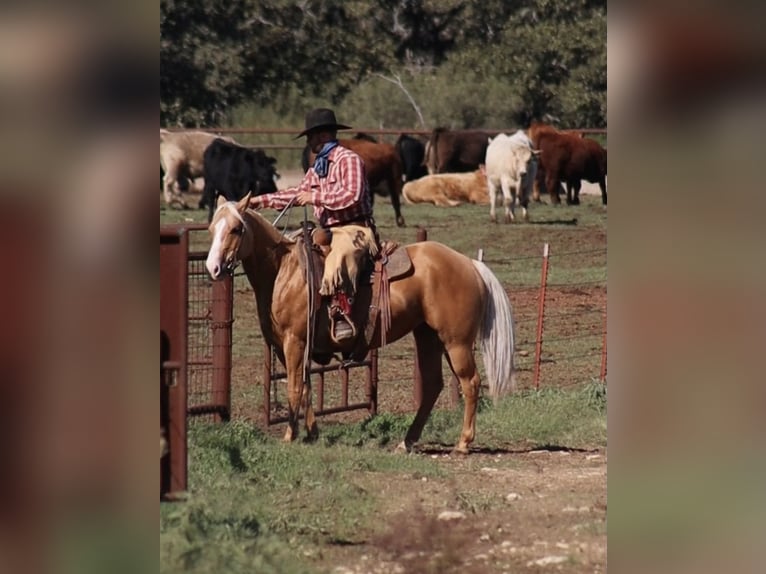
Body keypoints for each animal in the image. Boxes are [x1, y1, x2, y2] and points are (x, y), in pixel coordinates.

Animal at [206, 196, 516, 456]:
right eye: (211, 229)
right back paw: (406, 441)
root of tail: (470, 263)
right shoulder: (287, 347)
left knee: (470, 382)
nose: (213, 268)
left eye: (236, 229)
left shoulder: (295, 341)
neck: (284, 270)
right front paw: (312, 434)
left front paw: (289, 436)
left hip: (456, 342)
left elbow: (294, 387)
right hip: (427, 336)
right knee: (432, 385)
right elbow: (305, 387)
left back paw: (463, 443)